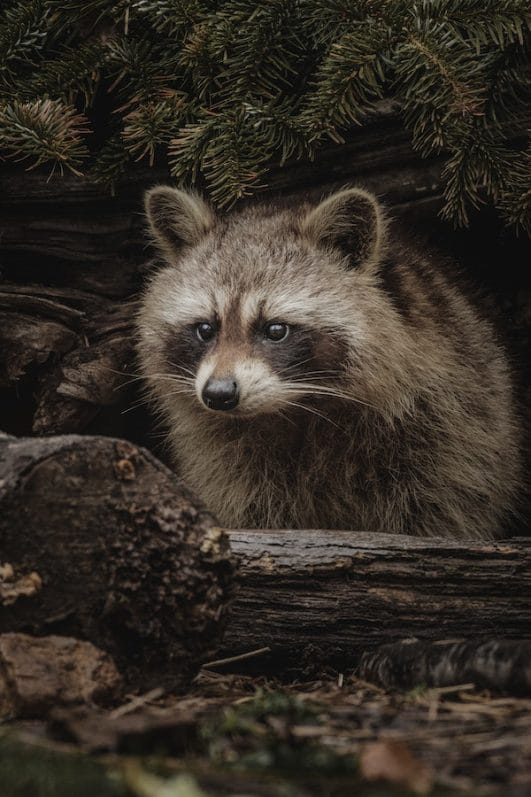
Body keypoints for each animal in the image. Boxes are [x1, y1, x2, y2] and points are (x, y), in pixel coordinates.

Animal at [137, 186, 523, 539]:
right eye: (205, 329)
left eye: (275, 329)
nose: (219, 394)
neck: (299, 409)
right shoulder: (224, 459)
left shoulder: (451, 429)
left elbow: (442, 505)